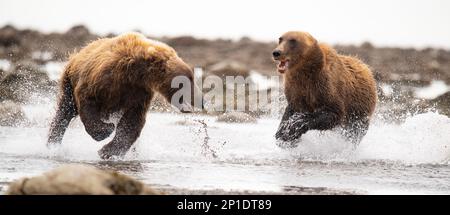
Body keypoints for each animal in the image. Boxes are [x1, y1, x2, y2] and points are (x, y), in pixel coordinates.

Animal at [48, 32, 203, 160]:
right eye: (188, 79)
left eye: (192, 77)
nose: (201, 100)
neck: (136, 72)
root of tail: (80, 52)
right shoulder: (104, 78)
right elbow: (88, 99)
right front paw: (106, 131)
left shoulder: (139, 93)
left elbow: (132, 121)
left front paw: (107, 152)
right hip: (69, 80)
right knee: (65, 111)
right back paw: (53, 143)